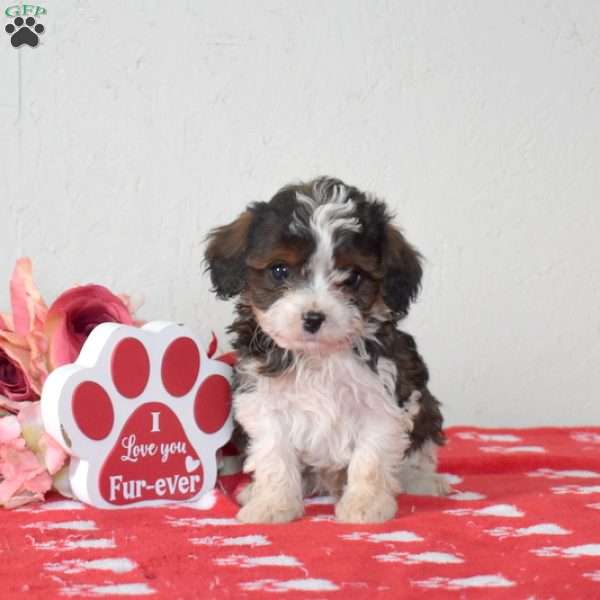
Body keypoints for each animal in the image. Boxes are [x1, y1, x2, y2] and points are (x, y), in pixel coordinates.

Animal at [204, 176, 448, 524]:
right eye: (280, 270)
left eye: (353, 276)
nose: (313, 318)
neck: (318, 357)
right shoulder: (264, 401)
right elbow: (274, 454)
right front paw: (273, 503)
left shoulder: (383, 397)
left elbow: (371, 457)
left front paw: (365, 504)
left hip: (425, 408)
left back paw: (422, 481)